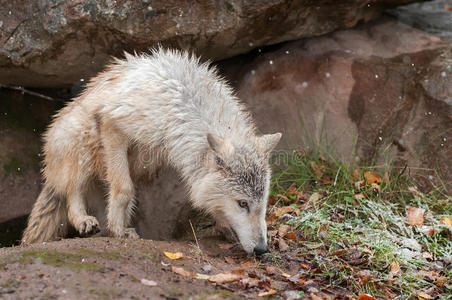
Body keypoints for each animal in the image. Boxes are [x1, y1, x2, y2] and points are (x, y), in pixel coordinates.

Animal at [23, 48, 282, 254]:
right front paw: (117, 230)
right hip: (84, 143)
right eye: (242, 204)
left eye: (262, 202)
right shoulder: (113, 126)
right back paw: (84, 221)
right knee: (72, 191)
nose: (262, 249)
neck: (180, 108)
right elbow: (123, 189)